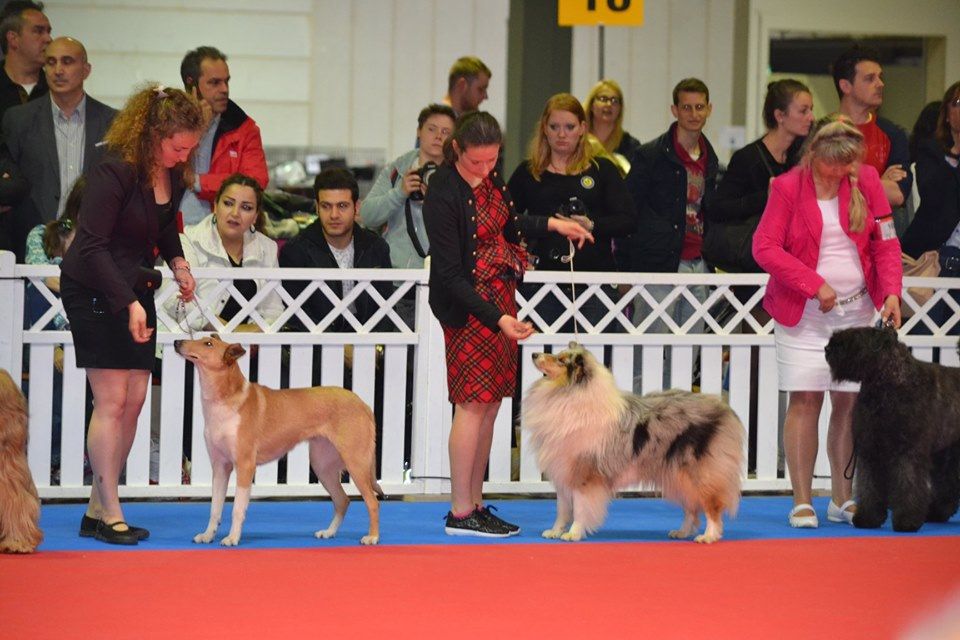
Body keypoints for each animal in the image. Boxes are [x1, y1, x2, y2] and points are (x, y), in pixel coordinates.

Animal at [172, 336, 382, 544]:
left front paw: (232, 538)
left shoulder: (245, 466)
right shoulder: (220, 467)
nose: (177, 342)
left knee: (372, 502)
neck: (223, 402)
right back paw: (328, 532)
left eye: (208, 344)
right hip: (322, 465)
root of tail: (363, 404)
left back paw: (372, 537)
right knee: (342, 500)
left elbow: (237, 509)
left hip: (355, 463)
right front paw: (208, 535)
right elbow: (215, 508)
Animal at [524, 342, 744, 544]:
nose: (534, 354)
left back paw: (708, 536)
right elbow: (562, 509)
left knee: (711, 506)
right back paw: (681, 532)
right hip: (678, 476)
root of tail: (725, 409)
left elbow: (579, 507)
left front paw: (573, 533)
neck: (568, 392)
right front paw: (555, 531)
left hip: (700, 474)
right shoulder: (563, 472)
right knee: (691, 507)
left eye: (561, 360)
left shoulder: (583, 474)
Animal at [824, 328, 960, 532]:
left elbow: (908, 484)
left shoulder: (908, 451)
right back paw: (936, 513)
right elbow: (869, 485)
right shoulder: (871, 450)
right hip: (947, 454)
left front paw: (907, 520)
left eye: (858, 336)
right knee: (948, 485)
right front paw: (868, 517)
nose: (828, 348)